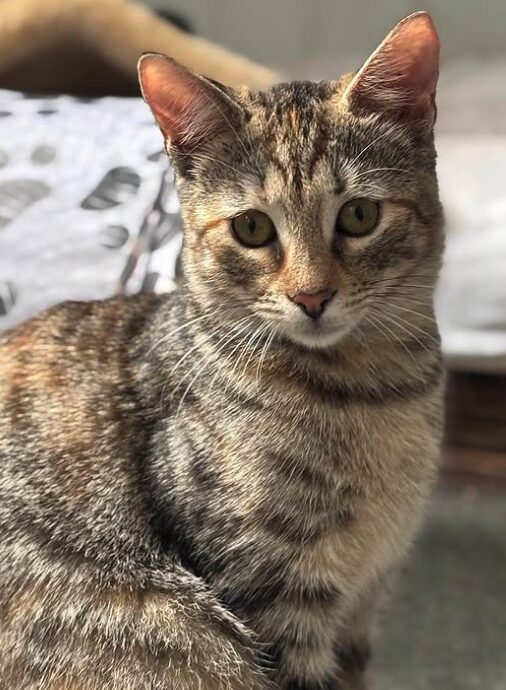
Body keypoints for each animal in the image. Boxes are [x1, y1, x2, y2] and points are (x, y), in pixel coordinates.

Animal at [0, 12, 442, 688]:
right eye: (252, 228)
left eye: (360, 216)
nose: (312, 296)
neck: (376, 393)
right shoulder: (272, 590)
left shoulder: (364, 601)